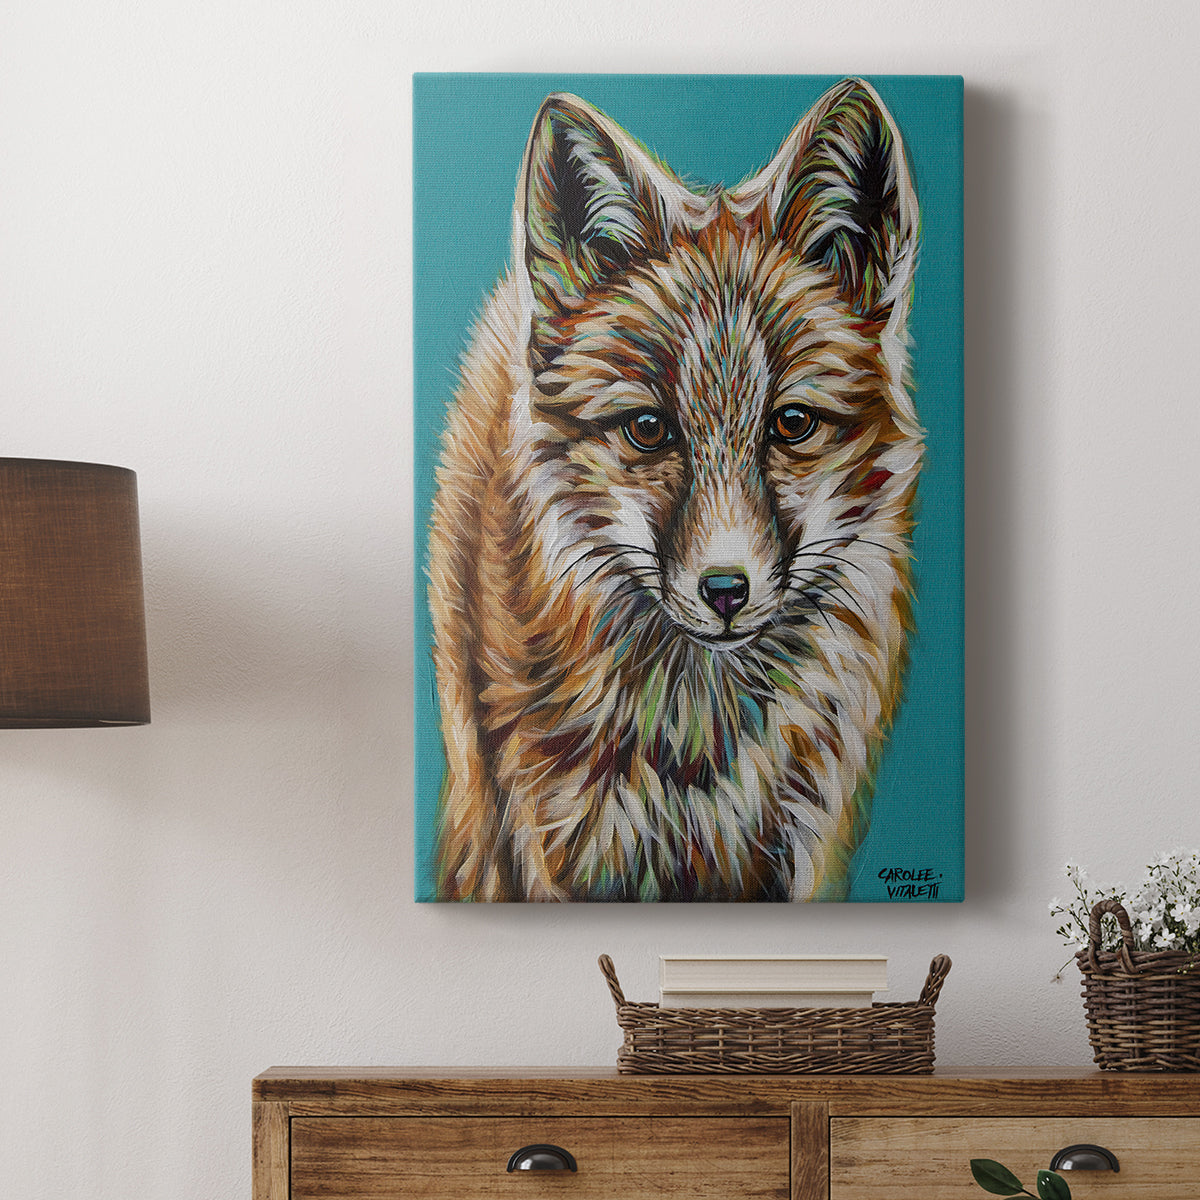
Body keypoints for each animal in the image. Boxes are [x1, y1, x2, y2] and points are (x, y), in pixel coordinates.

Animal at [427, 78, 923, 902]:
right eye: (649, 429)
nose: (726, 591)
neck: (697, 756)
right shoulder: (551, 845)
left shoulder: (802, 845)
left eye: (791, 423)